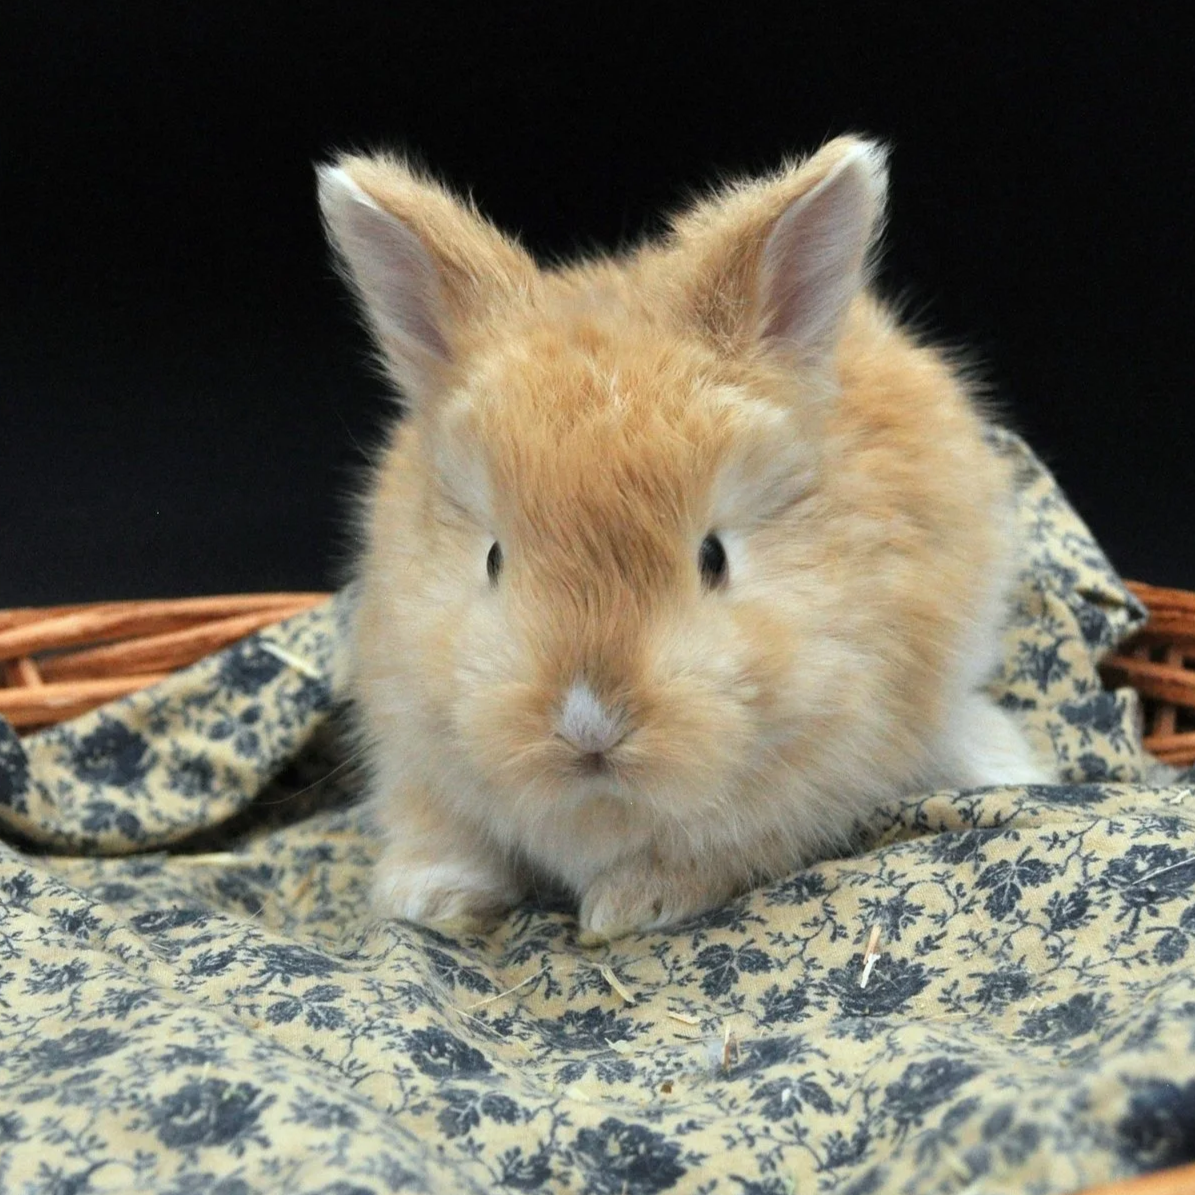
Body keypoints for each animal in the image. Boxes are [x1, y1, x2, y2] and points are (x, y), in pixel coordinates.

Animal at [316, 134, 1055, 941]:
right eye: (492, 557)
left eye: (714, 557)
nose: (588, 725)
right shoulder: (411, 731)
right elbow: (440, 827)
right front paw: (427, 898)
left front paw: (627, 905)